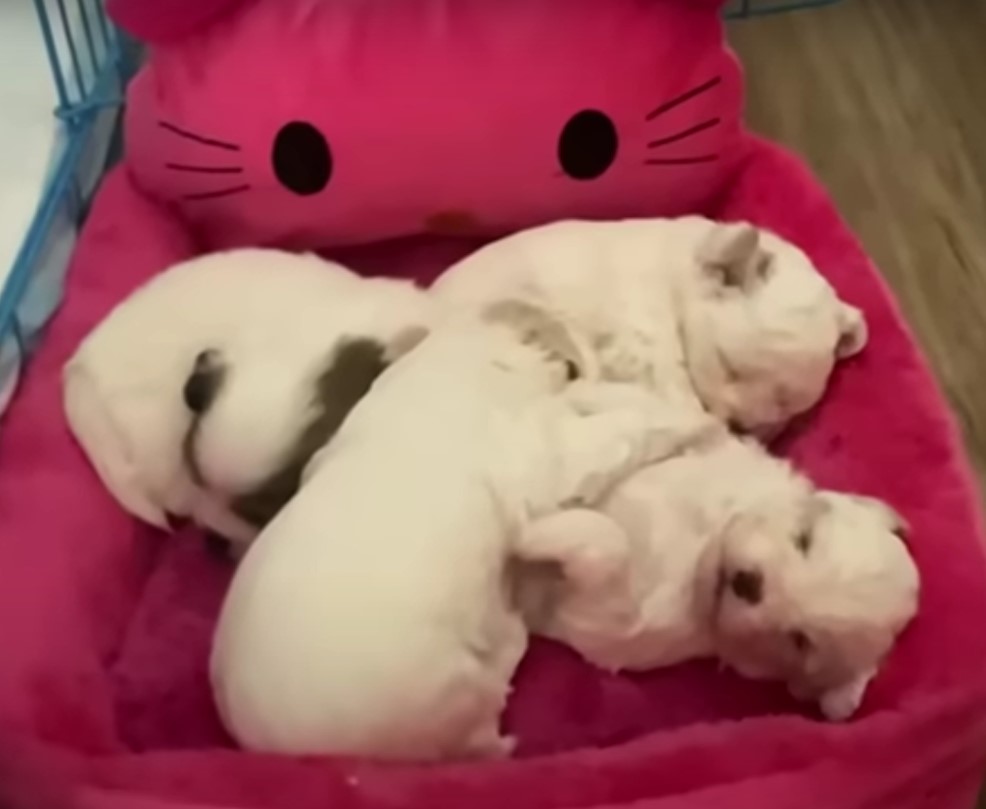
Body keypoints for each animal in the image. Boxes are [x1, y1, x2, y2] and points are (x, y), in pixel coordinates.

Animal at [520, 432, 920, 724]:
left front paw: (530, 532)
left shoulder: (613, 627)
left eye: (799, 640)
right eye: (804, 539)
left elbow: (607, 546)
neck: (701, 551)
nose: (748, 582)